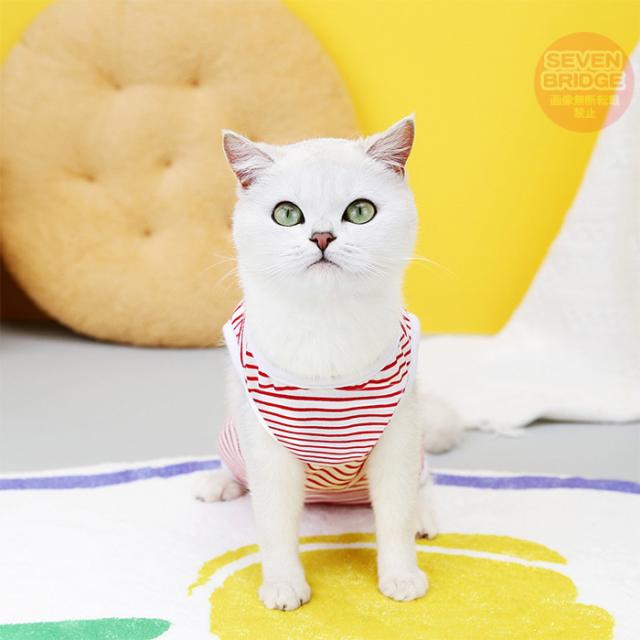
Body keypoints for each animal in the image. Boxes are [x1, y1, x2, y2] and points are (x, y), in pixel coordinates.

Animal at [195, 116, 462, 611]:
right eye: (286, 214)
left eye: (359, 212)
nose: (322, 236)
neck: (326, 325)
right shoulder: (268, 453)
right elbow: (275, 528)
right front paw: (284, 585)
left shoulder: (397, 442)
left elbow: (394, 519)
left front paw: (401, 577)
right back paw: (219, 483)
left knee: (422, 483)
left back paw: (424, 516)